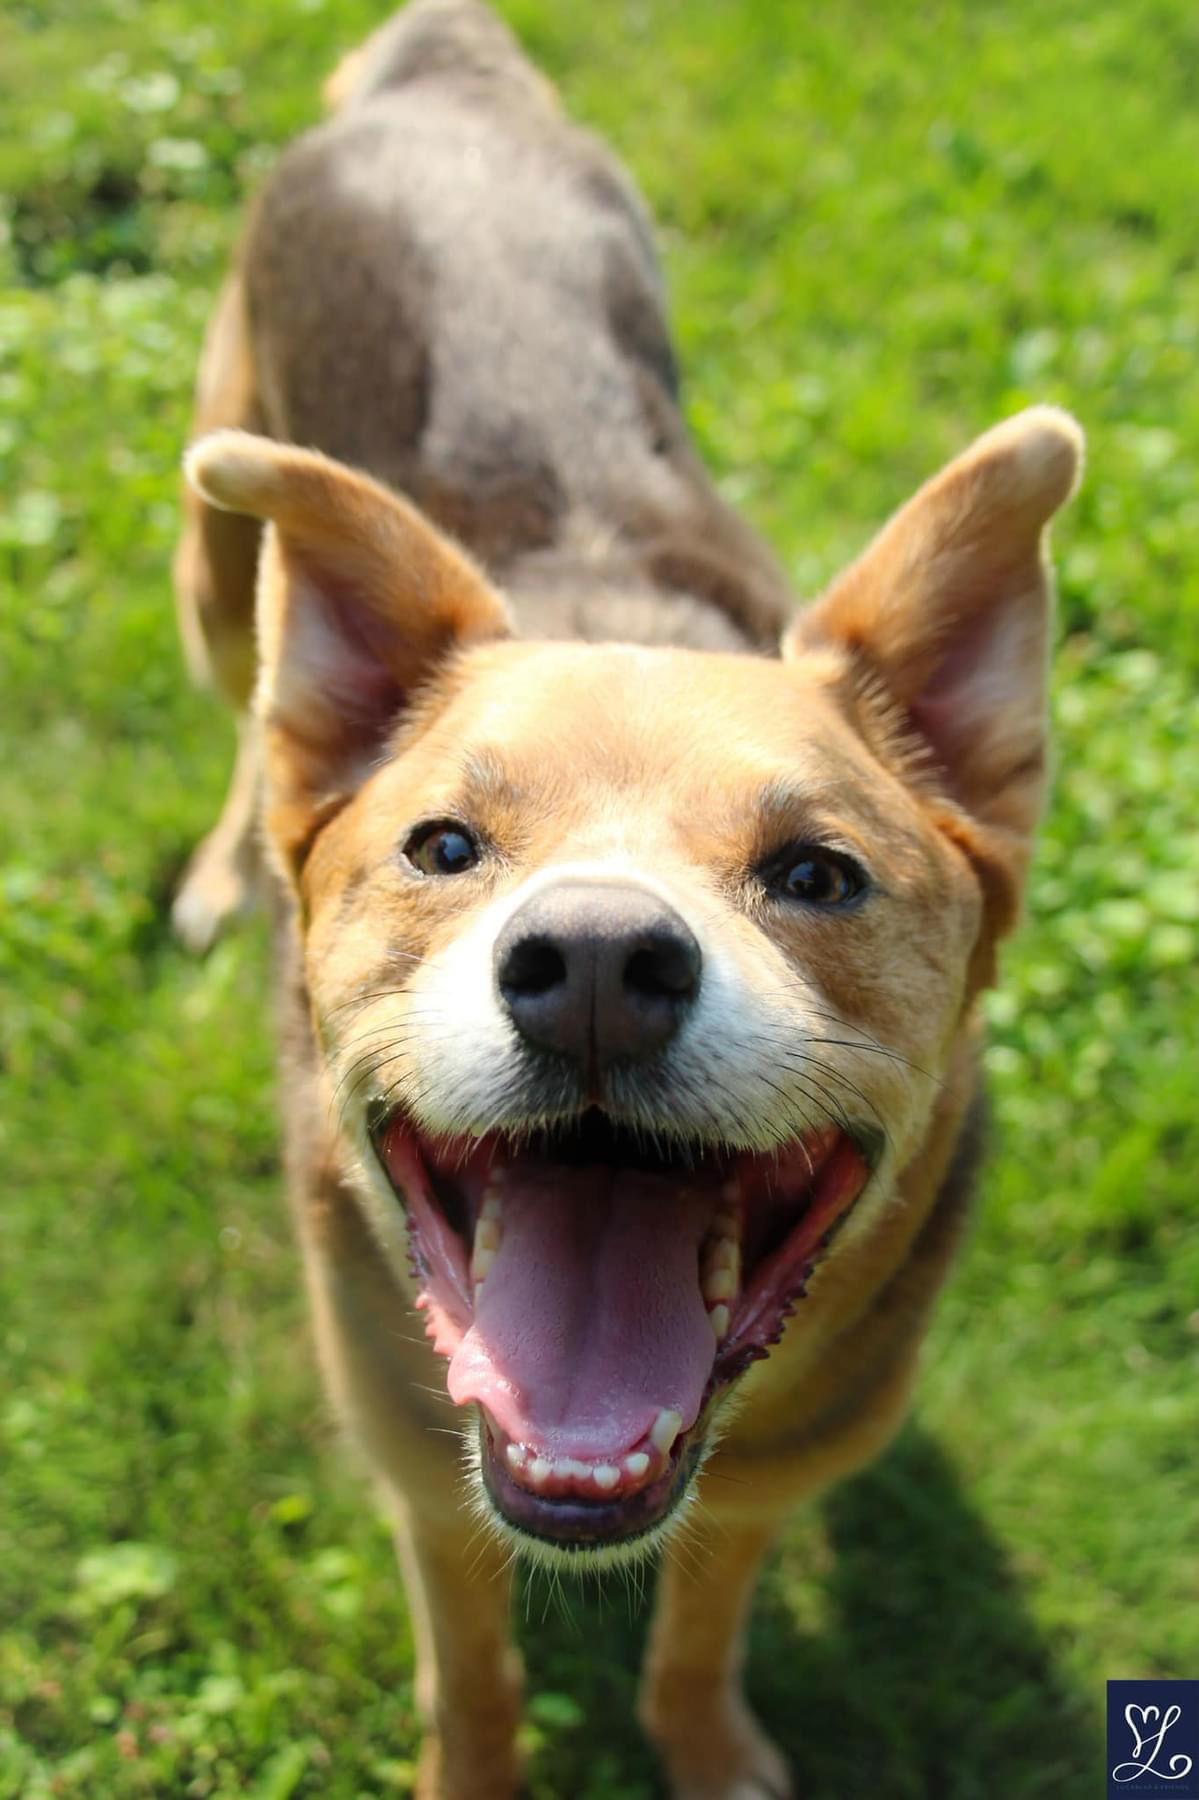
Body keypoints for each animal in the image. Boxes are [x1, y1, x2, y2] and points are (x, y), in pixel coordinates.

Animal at [172, 7, 1080, 1792]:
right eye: (442, 848)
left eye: (815, 874)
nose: (592, 963)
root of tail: (444, 66)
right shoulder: (420, 1485)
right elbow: (471, 1681)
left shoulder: (767, 1476)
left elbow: (698, 1635)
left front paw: (707, 1749)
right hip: (214, 534)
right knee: (245, 709)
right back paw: (223, 866)